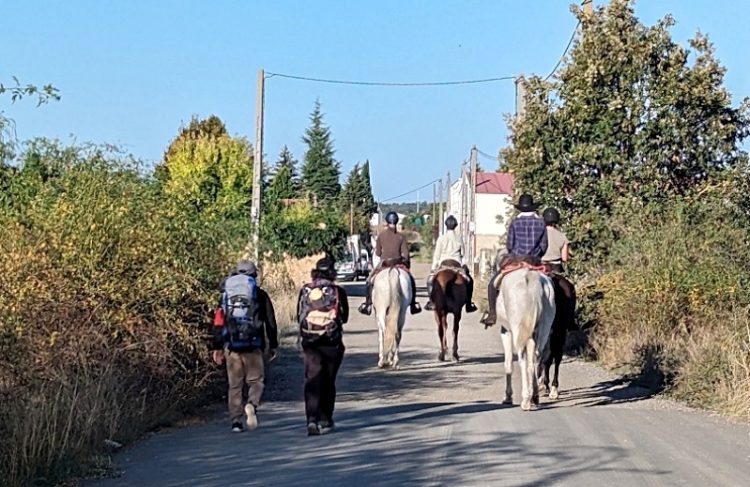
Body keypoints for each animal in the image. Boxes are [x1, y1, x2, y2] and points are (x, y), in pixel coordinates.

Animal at [500, 268, 560, 410]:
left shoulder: (506, 331)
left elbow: (508, 363)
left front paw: (508, 397)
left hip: (519, 330)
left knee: (522, 359)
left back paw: (526, 399)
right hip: (544, 327)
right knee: (538, 358)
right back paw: (535, 396)